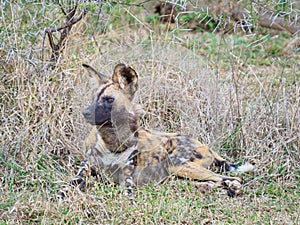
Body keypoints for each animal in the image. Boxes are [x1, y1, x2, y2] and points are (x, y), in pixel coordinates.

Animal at [70, 63, 253, 197]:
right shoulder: (85, 170)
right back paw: (207, 187)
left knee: (232, 178)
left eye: (109, 100)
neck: (113, 143)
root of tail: (205, 145)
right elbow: (73, 184)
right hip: (177, 171)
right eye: (94, 99)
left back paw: (232, 188)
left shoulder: (126, 182)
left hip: (178, 165)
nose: (86, 113)